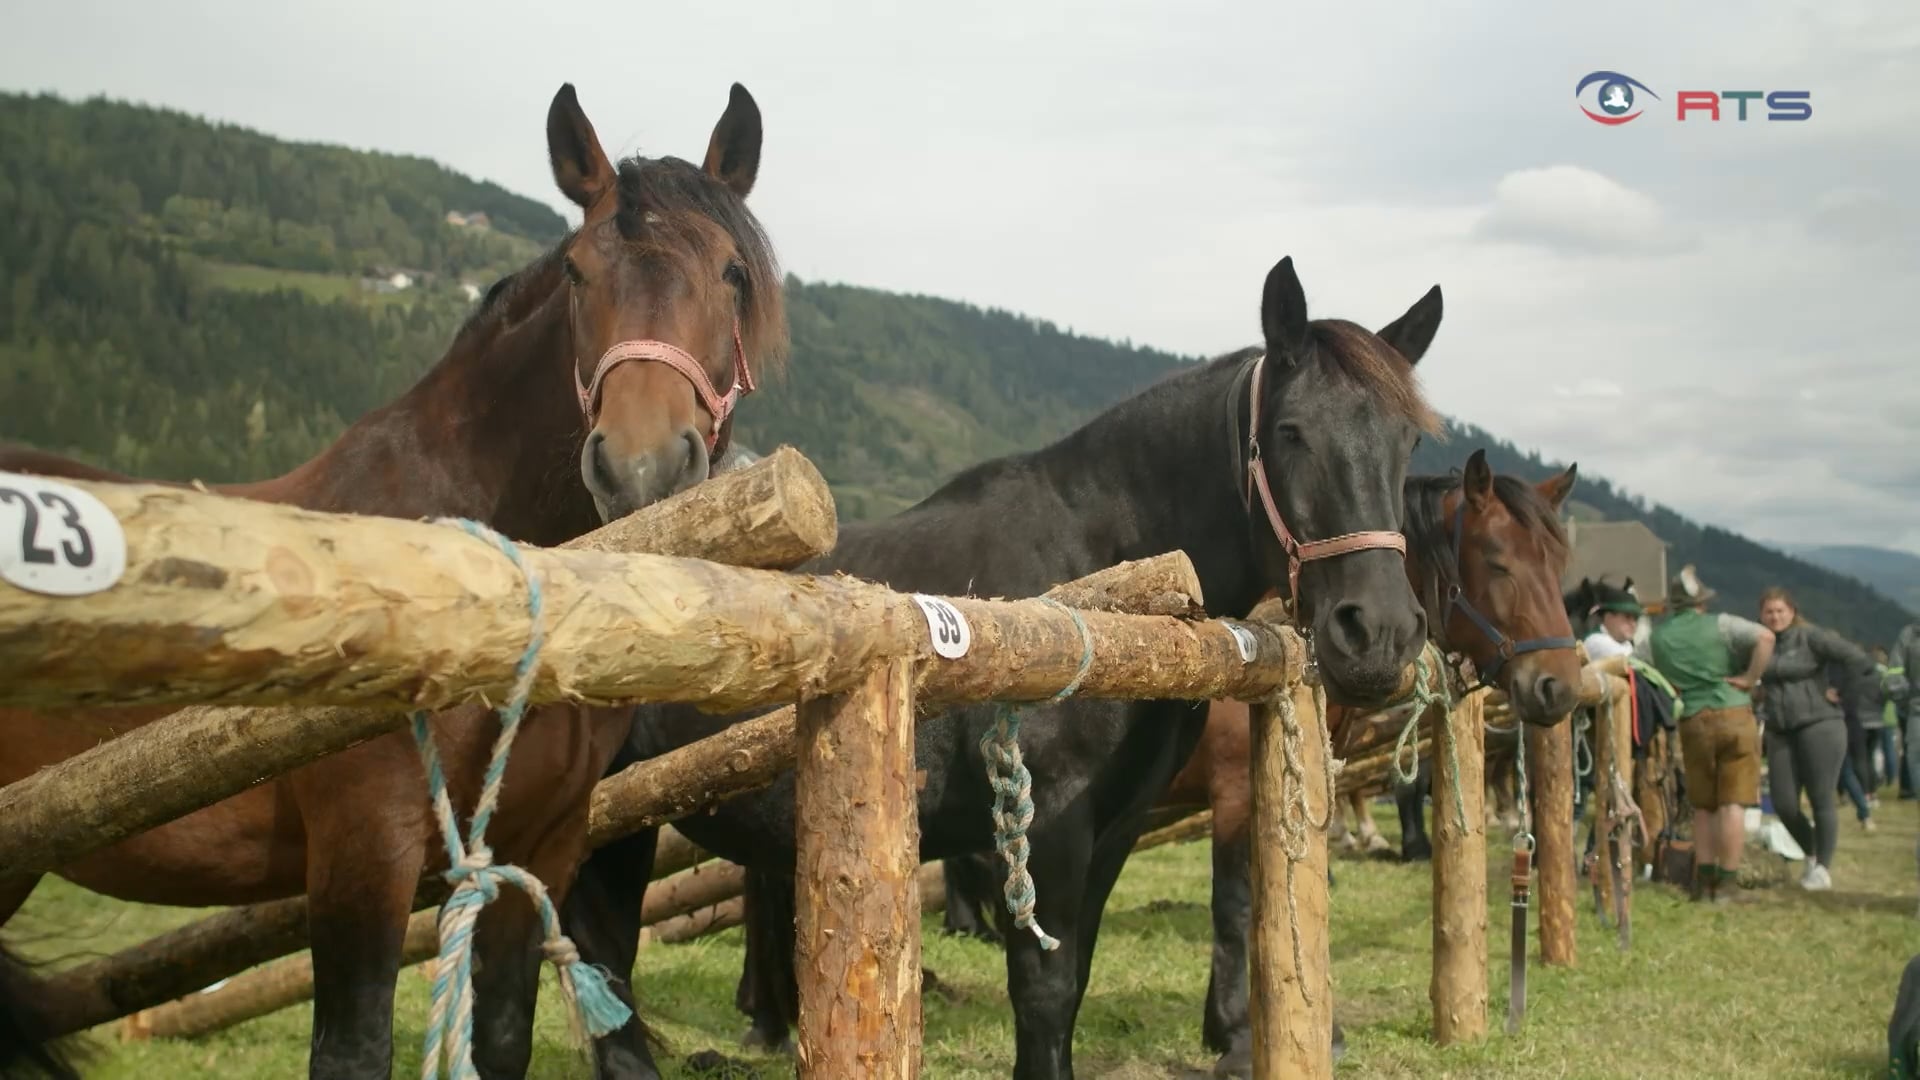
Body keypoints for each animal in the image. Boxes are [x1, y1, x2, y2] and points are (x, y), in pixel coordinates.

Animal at [0, 79, 787, 1068]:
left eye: (731, 273)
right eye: (578, 273)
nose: (641, 467)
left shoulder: (540, 845)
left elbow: (501, 1037)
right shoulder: (363, 853)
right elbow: (352, 1050)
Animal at [568, 253, 1451, 1076]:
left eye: (1407, 439)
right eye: (1293, 431)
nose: (1378, 632)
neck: (1095, 568)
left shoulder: (1112, 831)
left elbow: (1074, 981)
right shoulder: (1047, 824)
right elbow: (1045, 991)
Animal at [936, 445, 1582, 1068]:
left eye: (1559, 566)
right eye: (1497, 560)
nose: (1559, 685)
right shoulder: (1234, 794)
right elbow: (1236, 904)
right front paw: (1235, 1029)